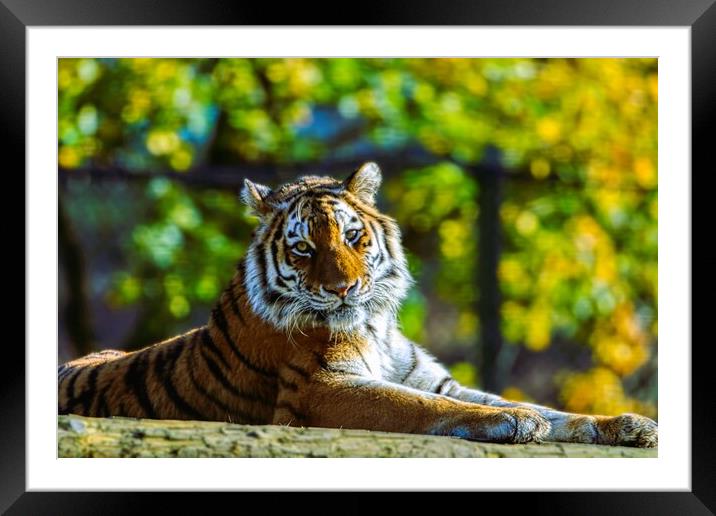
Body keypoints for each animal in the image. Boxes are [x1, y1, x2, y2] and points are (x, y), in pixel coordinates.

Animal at [58, 162, 656, 448]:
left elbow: (552, 411)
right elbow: (424, 409)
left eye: (352, 236)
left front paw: (627, 425)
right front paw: (514, 419)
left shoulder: (433, 378)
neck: (375, 324)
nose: (343, 289)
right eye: (303, 248)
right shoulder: (320, 390)